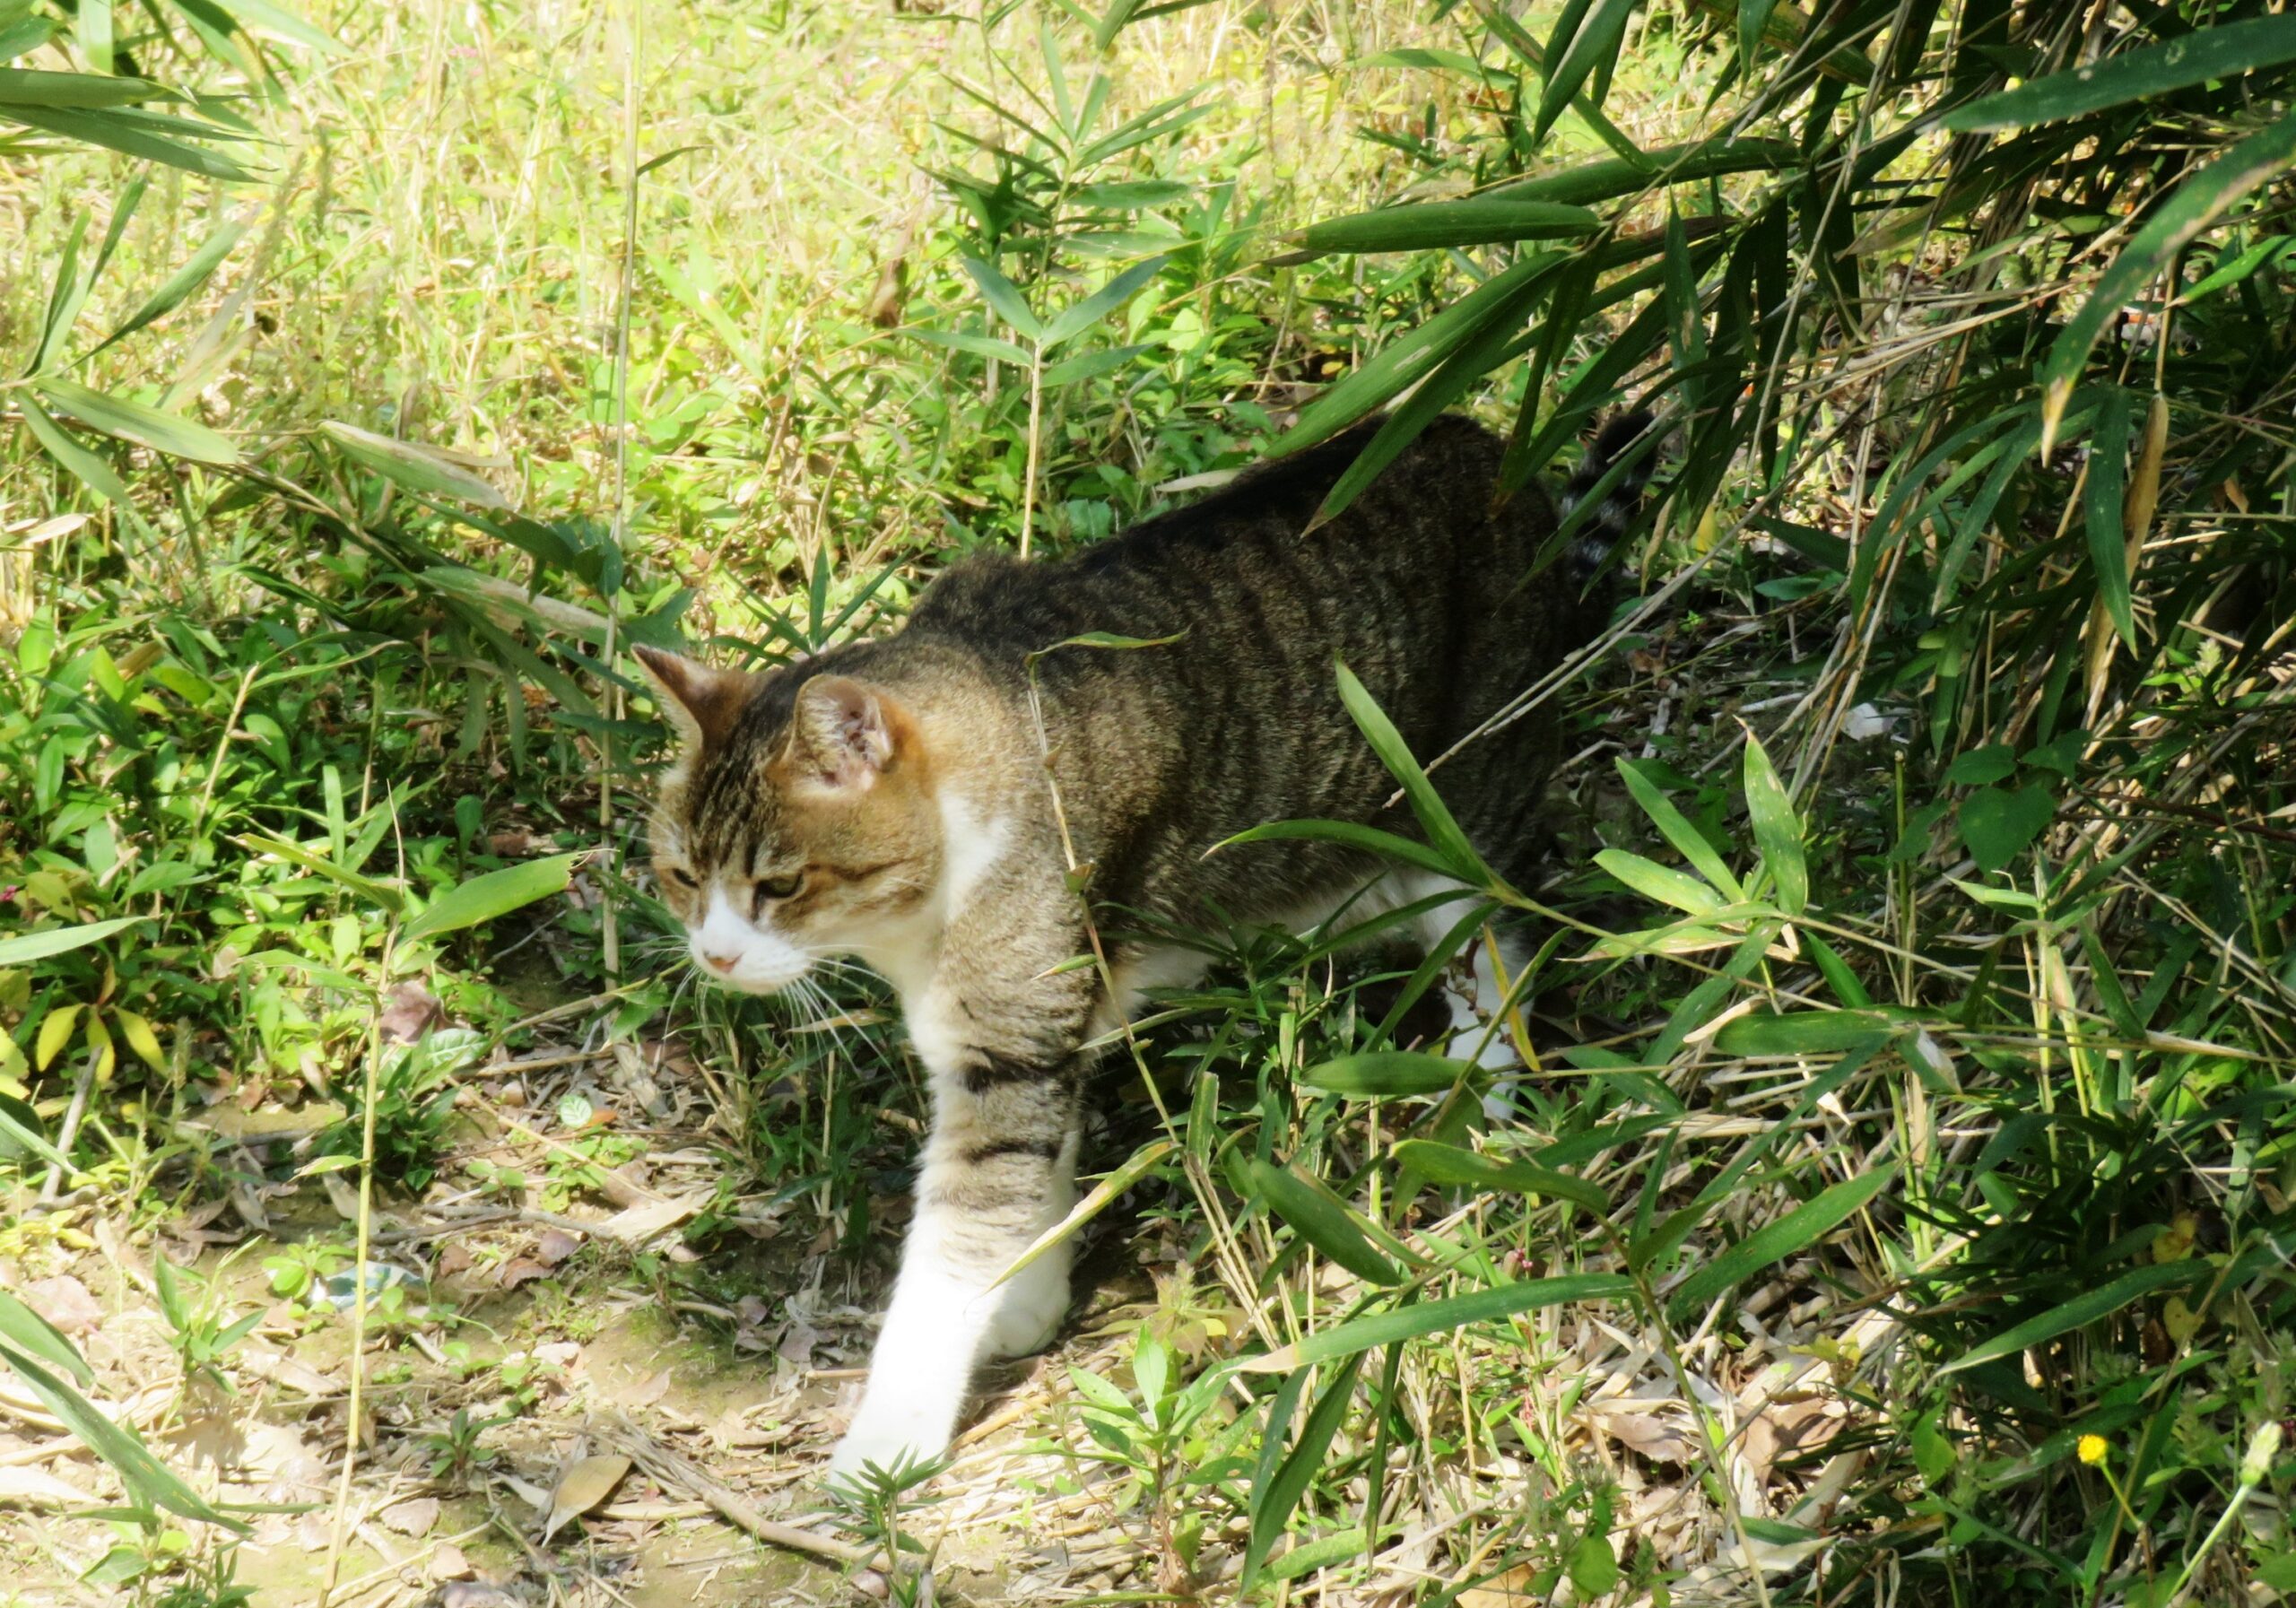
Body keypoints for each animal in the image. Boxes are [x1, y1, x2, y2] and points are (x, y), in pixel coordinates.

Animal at [633, 411, 1653, 1479]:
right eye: (681, 876)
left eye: (779, 885)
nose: (714, 957)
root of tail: (1488, 444)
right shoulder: (1039, 1025)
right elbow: (1045, 1174)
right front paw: (1028, 1302)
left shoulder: (1009, 1040)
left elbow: (954, 1248)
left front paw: (883, 1448)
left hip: (1461, 811)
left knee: (1497, 946)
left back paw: (1473, 1103)